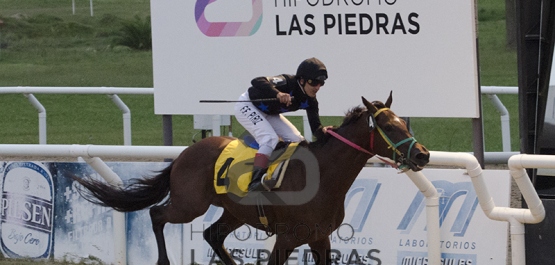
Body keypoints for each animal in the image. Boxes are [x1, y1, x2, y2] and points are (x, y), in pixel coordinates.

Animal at [74, 94, 430, 262]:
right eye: (390, 127)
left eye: (405, 123)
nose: (422, 155)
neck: (323, 177)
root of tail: (185, 153)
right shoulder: (287, 238)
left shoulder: (320, 238)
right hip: (189, 205)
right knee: (157, 214)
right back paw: (163, 260)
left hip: (234, 211)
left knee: (212, 235)